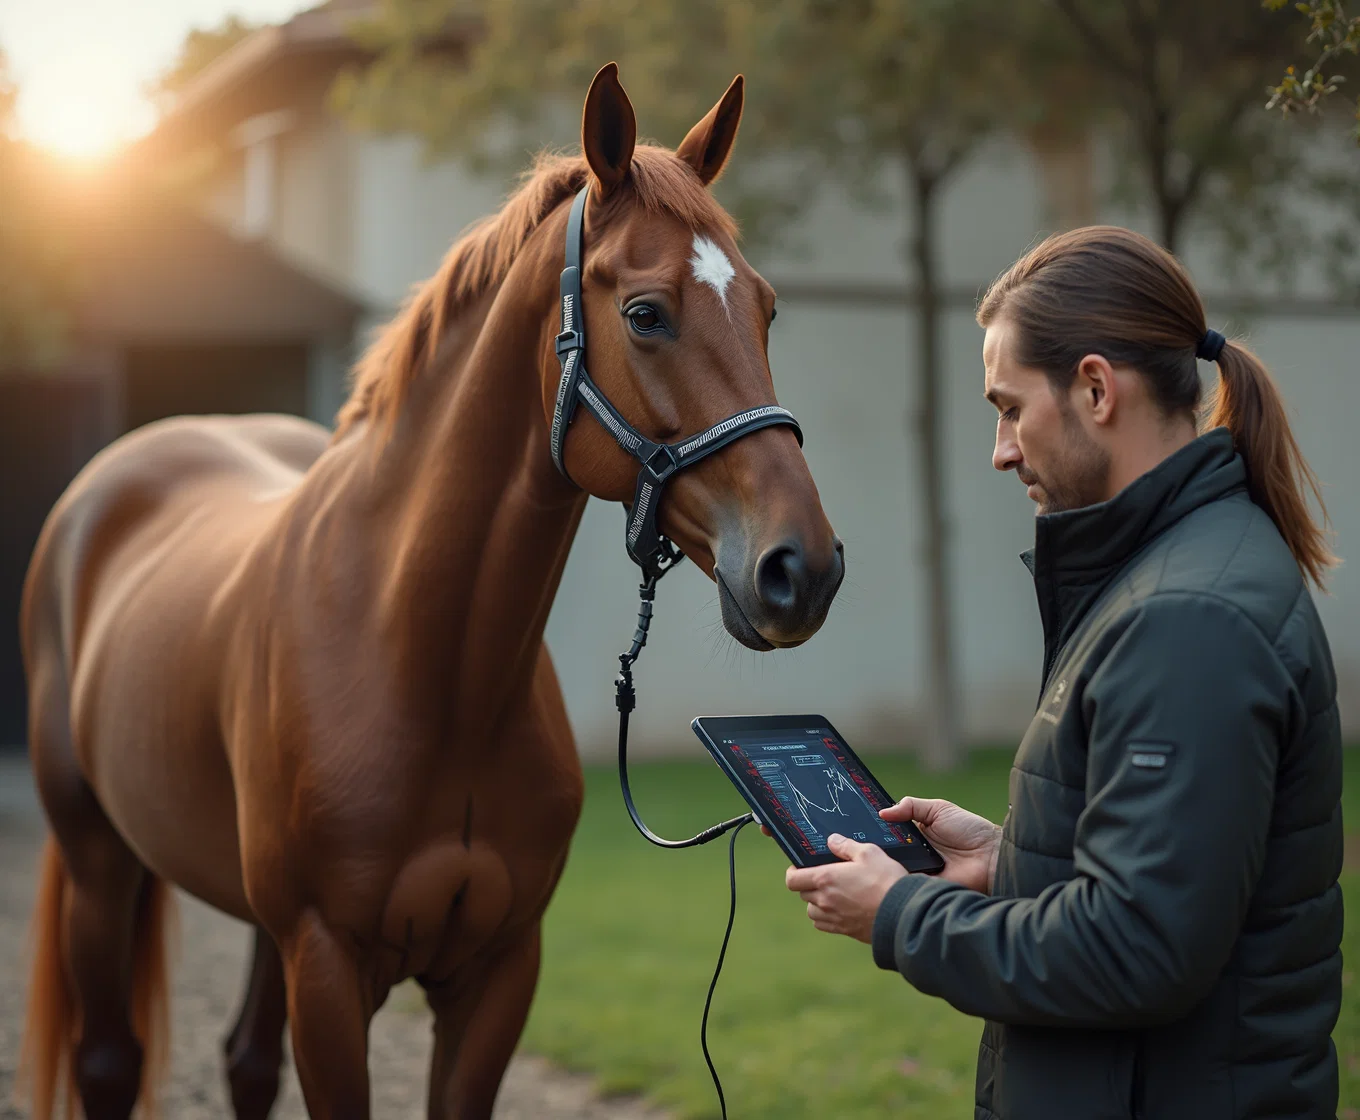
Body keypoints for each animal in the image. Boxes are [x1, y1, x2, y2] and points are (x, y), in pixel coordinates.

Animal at [15, 63, 843, 1120]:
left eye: (767, 310)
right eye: (646, 313)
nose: (803, 568)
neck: (425, 665)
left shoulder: (496, 970)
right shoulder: (329, 967)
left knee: (245, 1058)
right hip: (98, 861)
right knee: (109, 1061)